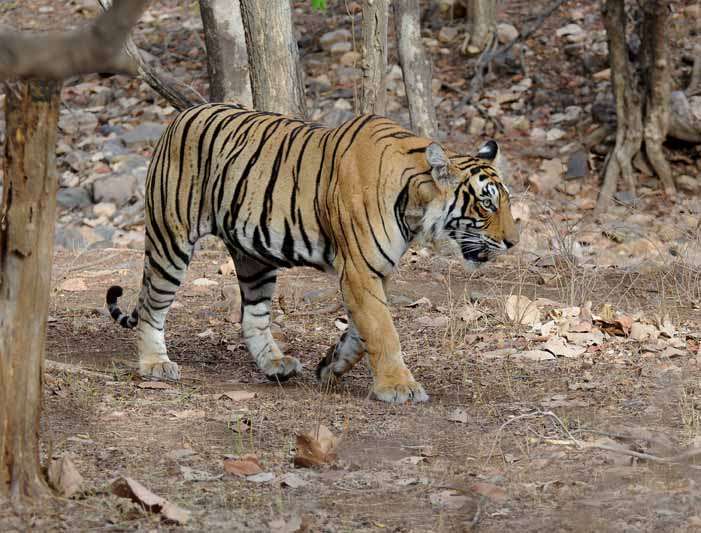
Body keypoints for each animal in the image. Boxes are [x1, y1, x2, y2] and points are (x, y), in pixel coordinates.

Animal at [105, 103, 519, 404]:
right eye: (486, 204)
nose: (514, 242)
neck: (415, 202)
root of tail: (178, 117)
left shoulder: (376, 270)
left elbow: (362, 331)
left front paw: (331, 365)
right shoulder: (359, 269)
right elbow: (383, 330)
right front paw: (399, 386)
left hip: (254, 257)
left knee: (253, 316)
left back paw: (275, 365)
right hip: (170, 240)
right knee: (152, 306)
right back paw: (155, 364)